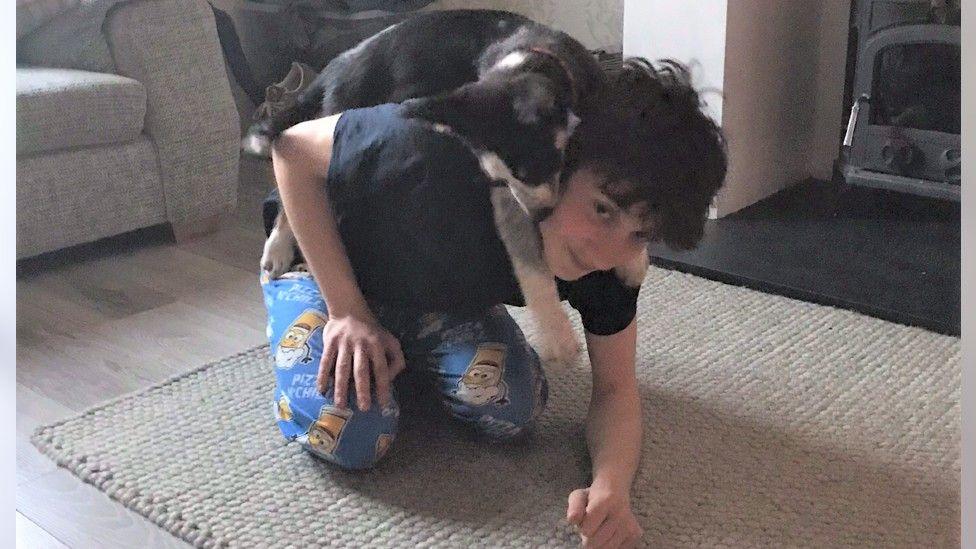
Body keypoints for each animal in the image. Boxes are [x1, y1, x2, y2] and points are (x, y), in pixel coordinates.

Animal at [248, 10, 632, 362]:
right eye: (505, 179)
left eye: (537, 167)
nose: (541, 215)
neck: (534, 55)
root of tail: (339, 63)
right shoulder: (506, 199)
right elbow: (527, 259)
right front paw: (556, 333)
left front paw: (630, 259)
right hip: (344, 108)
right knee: (289, 158)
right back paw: (277, 247)